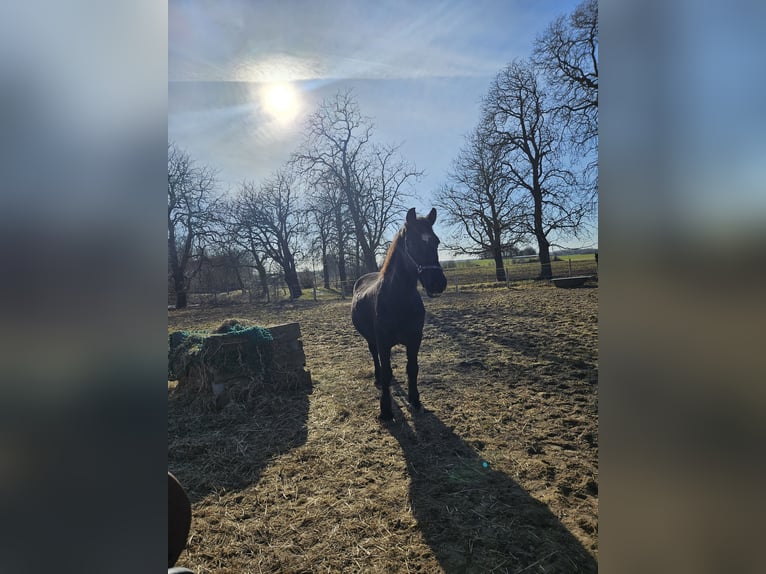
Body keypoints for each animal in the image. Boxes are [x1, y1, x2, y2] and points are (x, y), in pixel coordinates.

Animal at [351, 207, 448, 421]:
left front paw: (415, 401)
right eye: (412, 242)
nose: (438, 283)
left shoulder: (415, 338)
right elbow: (386, 371)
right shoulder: (383, 340)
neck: (397, 298)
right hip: (371, 338)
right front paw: (386, 410)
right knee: (375, 356)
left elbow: (412, 368)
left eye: (436, 241)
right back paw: (378, 379)